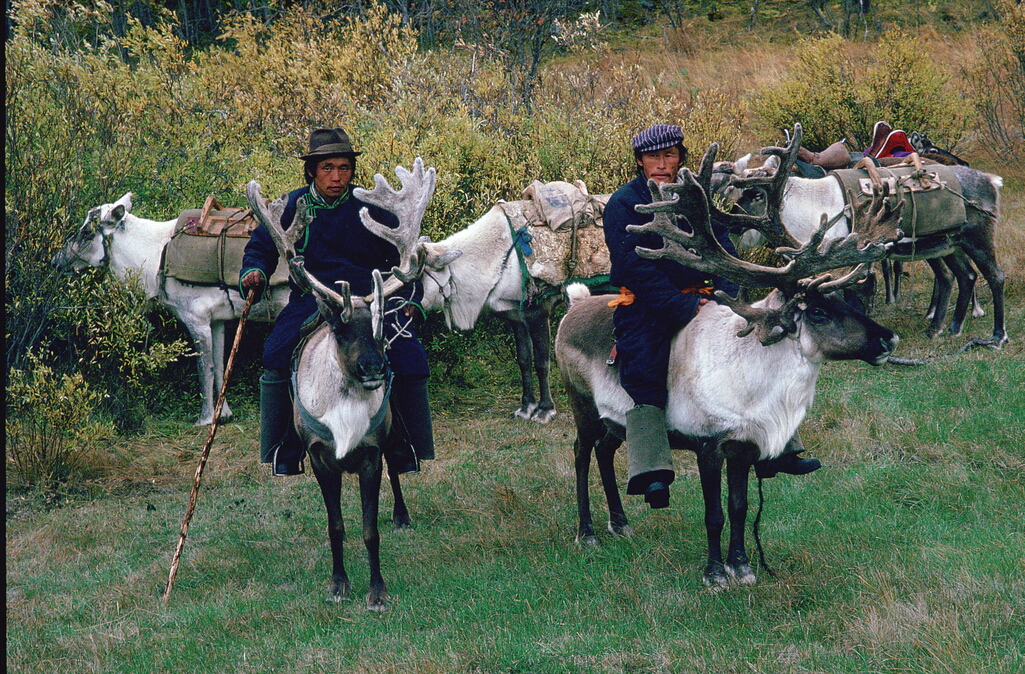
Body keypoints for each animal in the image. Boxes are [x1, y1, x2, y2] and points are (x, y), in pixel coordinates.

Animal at [51, 192, 289, 426]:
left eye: (86, 232)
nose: (56, 261)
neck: (153, 261)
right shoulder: (217, 319)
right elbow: (221, 367)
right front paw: (223, 414)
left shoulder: (196, 317)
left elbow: (205, 369)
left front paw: (205, 418)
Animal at [555, 154, 900, 589]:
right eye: (819, 312)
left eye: (841, 298)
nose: (889, 339)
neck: (756, 385)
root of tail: (573, 306)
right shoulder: (709, 445)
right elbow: (714, 514)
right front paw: (715, 573)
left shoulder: (744, 446)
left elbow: (740, 507)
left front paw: (743, 565)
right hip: (581, 404)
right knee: (581, 453)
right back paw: (586, 532)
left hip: (614, 419)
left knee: (605, 450)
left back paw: (620, 522)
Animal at [717, 125, 1007, 347]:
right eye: (736, 191)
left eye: (757, 194)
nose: (730, 228)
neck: (805, 211)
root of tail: (991, 181)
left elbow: (850, 294)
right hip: (947, 244)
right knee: (963, 276)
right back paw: (946, 328)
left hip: (978, 236)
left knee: (995, 275)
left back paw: (997, 335)